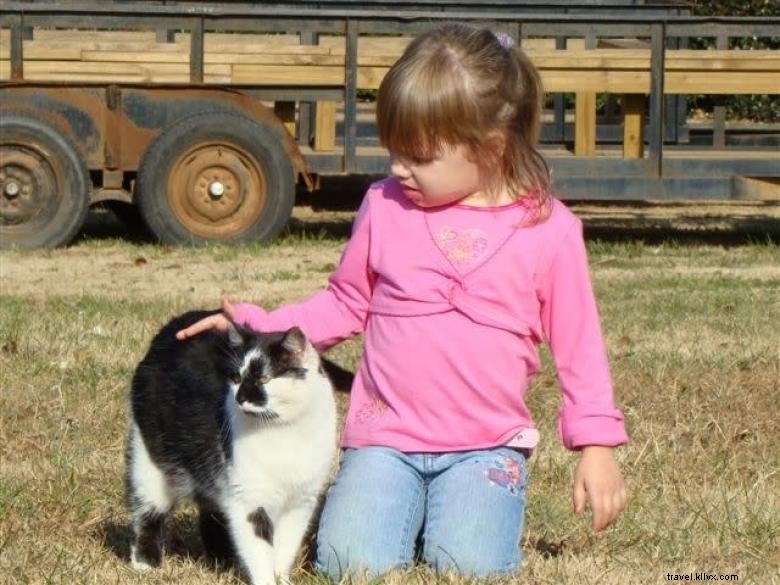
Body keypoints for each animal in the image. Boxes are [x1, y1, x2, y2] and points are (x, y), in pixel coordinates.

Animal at [126, 308, 336, 580]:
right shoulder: (249, 501)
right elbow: (260, 555)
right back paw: (145, 563)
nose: (240, 398)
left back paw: (221, 562)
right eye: (235, 378)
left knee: (212, 512)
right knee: (146, 513)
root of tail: (174, 325)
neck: (284, 432)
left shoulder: (300, 503)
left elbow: (284, 551)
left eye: (264, 379)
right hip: (149, 464)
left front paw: (282, 579)